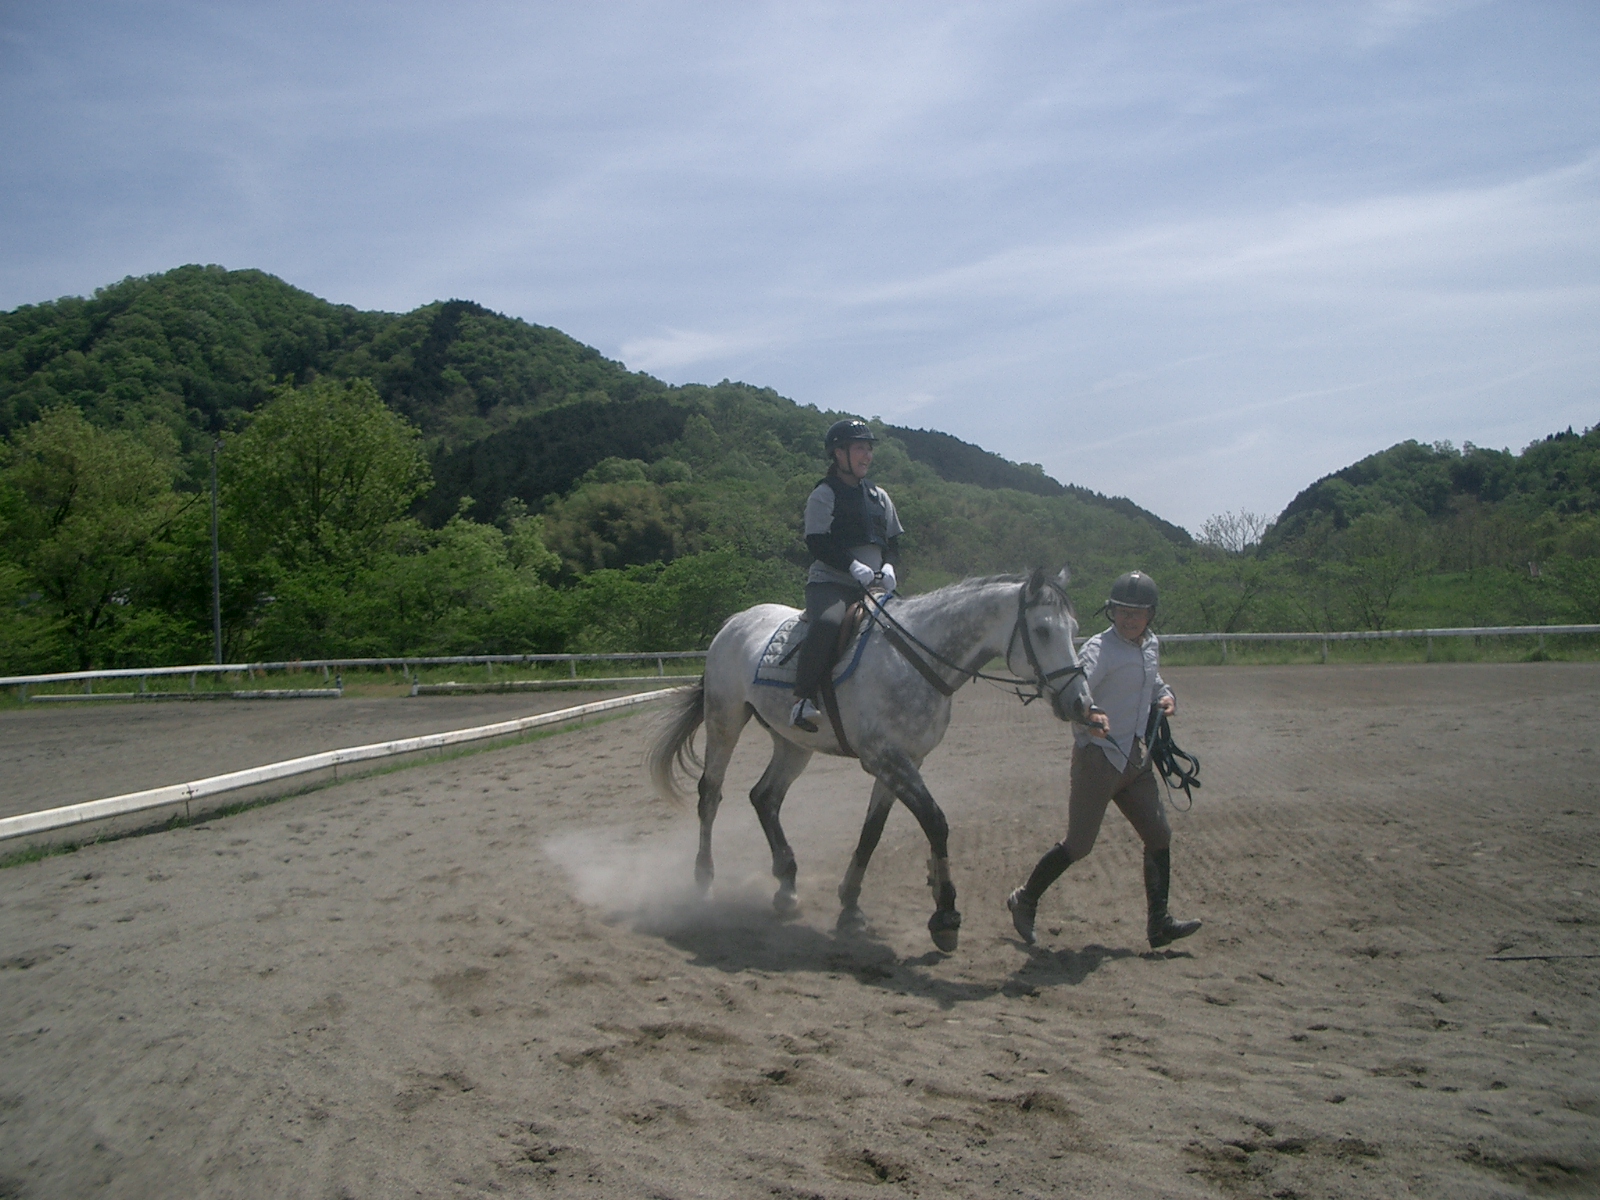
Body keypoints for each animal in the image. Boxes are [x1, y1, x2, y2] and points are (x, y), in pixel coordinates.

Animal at [646, 568, 1096, 952]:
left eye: (1074, 631)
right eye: (1042, 630)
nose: (1080, 703)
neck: (912, 658)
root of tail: (736, 621)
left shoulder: (904, 761)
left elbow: (872, 833)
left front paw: (850, 906)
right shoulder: (885, 758)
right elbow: (935, 822)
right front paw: (946, 915)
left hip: (793, 744)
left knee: (765, 797)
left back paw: (787, 886)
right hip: (724, 720)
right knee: (711, 794)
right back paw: (704, 881)